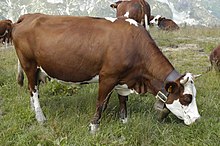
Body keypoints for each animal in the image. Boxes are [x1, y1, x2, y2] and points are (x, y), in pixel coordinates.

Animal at [12, 13, 201, 133]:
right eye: (187, 98)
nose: (197, 119)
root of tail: (28, 16)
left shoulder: (123, 80)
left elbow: (123, 100)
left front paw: (124, 121)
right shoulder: (107, 77)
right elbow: (101, 103)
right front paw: (93, 128)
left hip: (37, 68)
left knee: (32, 89)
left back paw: (33, 109)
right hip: (29, 64)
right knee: (33, 89)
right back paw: (40, 117)